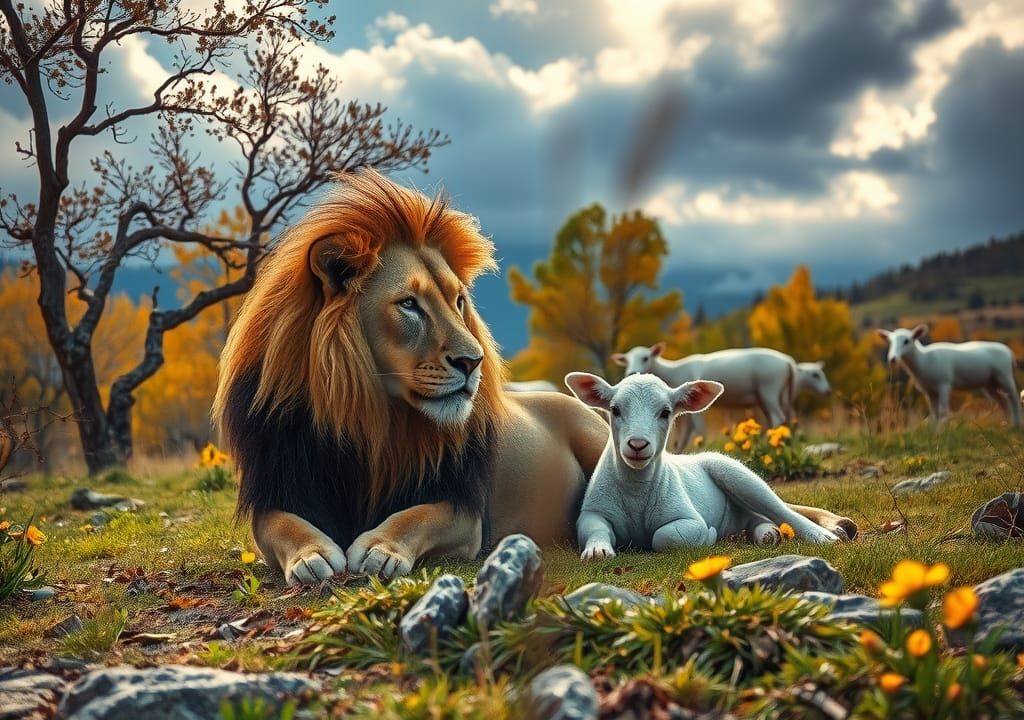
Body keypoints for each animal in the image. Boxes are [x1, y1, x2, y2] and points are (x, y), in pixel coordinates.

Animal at [564, 371, 840, 560]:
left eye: (665, 412)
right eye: (615, 409)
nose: (638, 444)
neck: (635, 488)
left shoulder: (689, 518)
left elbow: (665, 537)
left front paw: (708, 536)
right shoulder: (592, 512)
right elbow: (594, 529)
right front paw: (597, 551)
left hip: (737, 474)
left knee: (779, 509)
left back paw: (822, 536)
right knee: (757, 516)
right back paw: (768, 534)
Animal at [612, 343, 796, 452]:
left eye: (645, 358)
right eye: (626, 360)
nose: (632, 373)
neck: (673, 372)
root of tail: (788, 362)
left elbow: (698, 430)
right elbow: (682, 435)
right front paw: (678, 452)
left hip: (769, 389)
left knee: (777, 417)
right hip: (772, 395)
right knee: (779, 418)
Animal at [877, 324, 1020, 428]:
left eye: (906, 341)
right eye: (890, 341)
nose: (892, 359)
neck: (924, 359)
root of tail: (1009, 352)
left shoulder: (944, 384)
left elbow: (943, 412)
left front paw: (942, 433)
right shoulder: (929, 390)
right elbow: (934, 413)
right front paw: (934, 433)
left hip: (1005, 375)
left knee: (1014, 397)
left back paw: (1017, 424)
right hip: (990, 383)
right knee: (1004, 400)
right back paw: (1008, 425)